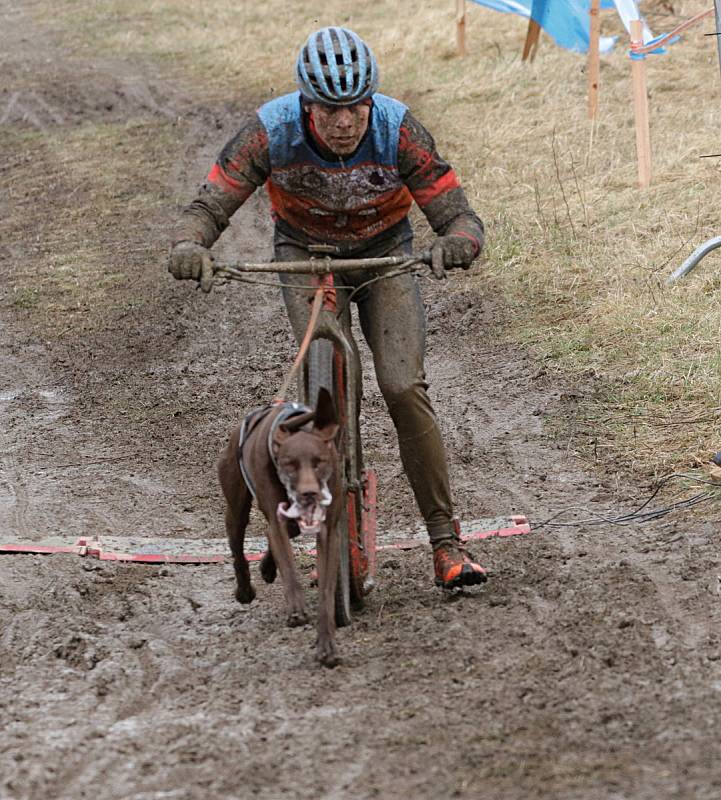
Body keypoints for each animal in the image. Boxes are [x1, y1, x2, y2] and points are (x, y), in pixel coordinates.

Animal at [217, 388, 344, 668]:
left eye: (319, 462)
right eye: (289, 464)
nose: (309, 493)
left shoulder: (328, 531)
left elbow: (326, 592)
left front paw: (327, 645)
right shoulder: (277, 521)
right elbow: (288, 566)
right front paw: (296, 609)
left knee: (284, 533)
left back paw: (266, 567)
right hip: (236, 504)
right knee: (238, 547)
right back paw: (245, 589)